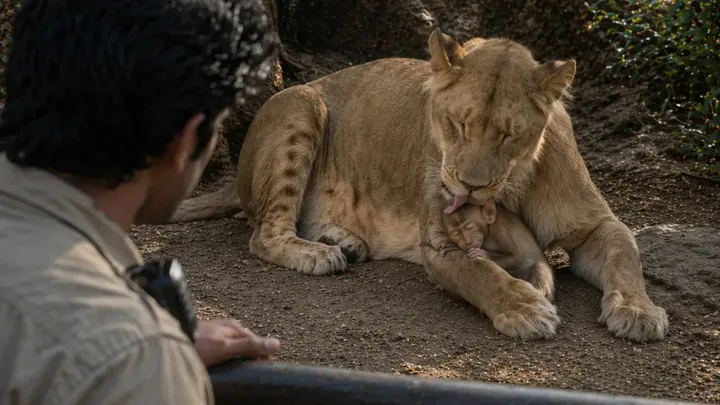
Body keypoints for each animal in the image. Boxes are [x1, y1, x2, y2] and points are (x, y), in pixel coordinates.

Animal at [169, 29, 669, 342]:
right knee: (263, 233)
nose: (469, 187)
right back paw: (319, 254)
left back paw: (343, 240)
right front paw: (524, 309)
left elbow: (626, 255)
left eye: (509, 134)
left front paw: (639, 311)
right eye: (456, 124)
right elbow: (480, 274)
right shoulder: (441, 246)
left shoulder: (596, 224)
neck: (511, 183)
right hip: (302, 103)